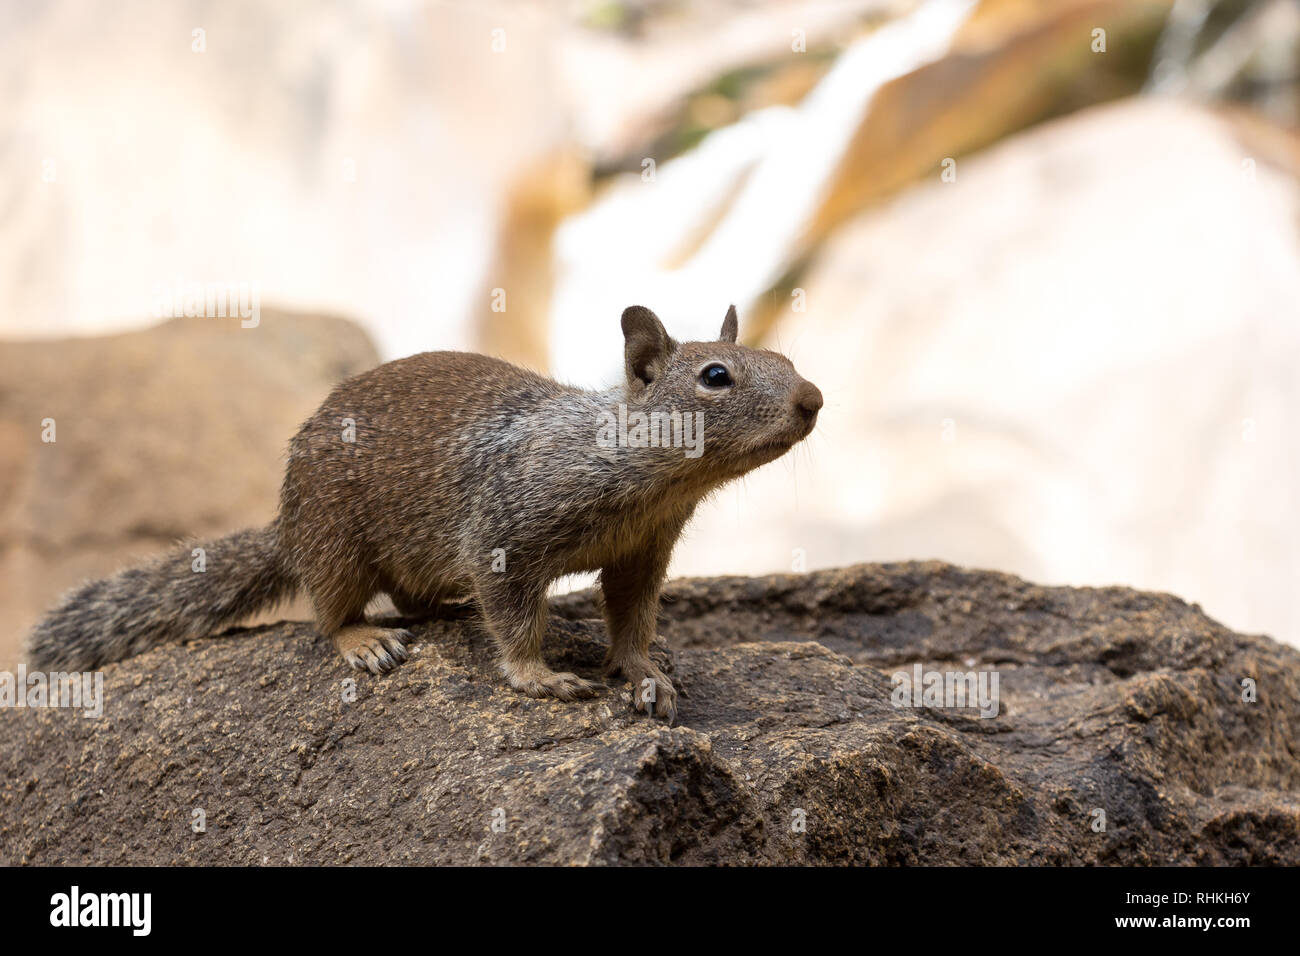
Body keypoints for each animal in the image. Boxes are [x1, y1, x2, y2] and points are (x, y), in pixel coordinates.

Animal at [26, 305, 822, 722]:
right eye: (715, 376)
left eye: (784, 357)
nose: (813, 399)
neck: (648, 475)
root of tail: (284, 527)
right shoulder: (506, 533)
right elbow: (515, 617)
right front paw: (540, 677)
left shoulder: (642, 552)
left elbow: (631, 618)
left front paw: (644, 673)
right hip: (334, 542)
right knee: (329, 611)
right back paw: (365, 641)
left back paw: (444, 610)